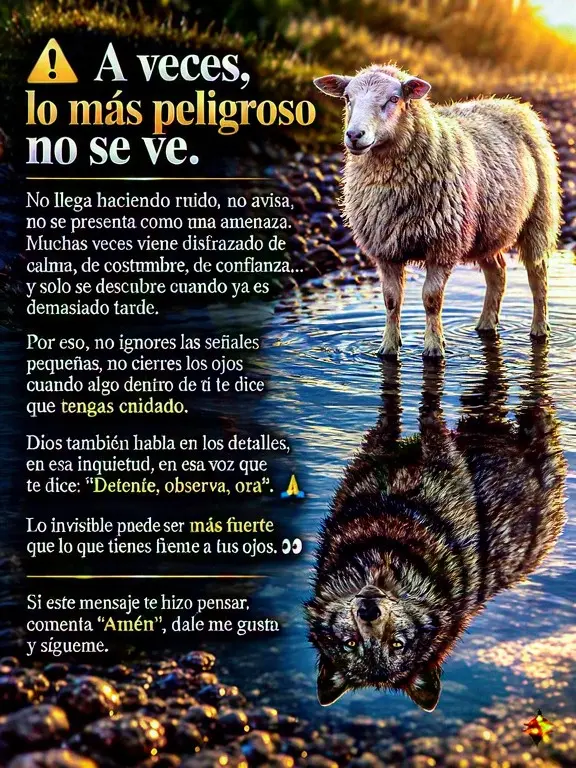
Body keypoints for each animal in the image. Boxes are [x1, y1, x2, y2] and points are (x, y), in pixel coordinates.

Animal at [306, 341, 566, 710]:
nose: (369, 610)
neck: (383, 540)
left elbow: (424, 418)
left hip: (533, 426)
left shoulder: (433, 462)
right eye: (350, 643)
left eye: (397, 644)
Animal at [314, 64, 561, 357]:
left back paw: (539, 329)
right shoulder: (385, 250)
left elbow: (431, 300)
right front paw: (388, 348)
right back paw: (485, 325)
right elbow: (391, 300)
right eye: (347, 98)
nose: (354, 136)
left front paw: (434, 348)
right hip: (485, 230)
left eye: (394, 99)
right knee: (498, 273)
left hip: (538, 216)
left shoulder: (442, 245)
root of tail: (512, 103)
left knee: (538, 276)